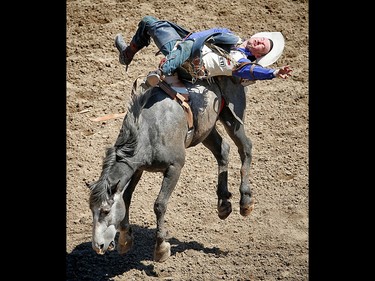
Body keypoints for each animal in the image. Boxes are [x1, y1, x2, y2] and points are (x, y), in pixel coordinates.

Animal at [87, 75, 256, 262]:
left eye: (105, 211)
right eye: (91, 210)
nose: (97, 246)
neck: (150, 130)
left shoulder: (175, 167)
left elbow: (160, 205)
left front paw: (161, 247)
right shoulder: (137, 168)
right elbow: (126, 198)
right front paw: (125, 240)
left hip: (233, 118)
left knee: (245, 148)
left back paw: (245, 201)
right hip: (206, 130)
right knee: (222, 150)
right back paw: (223, 203)